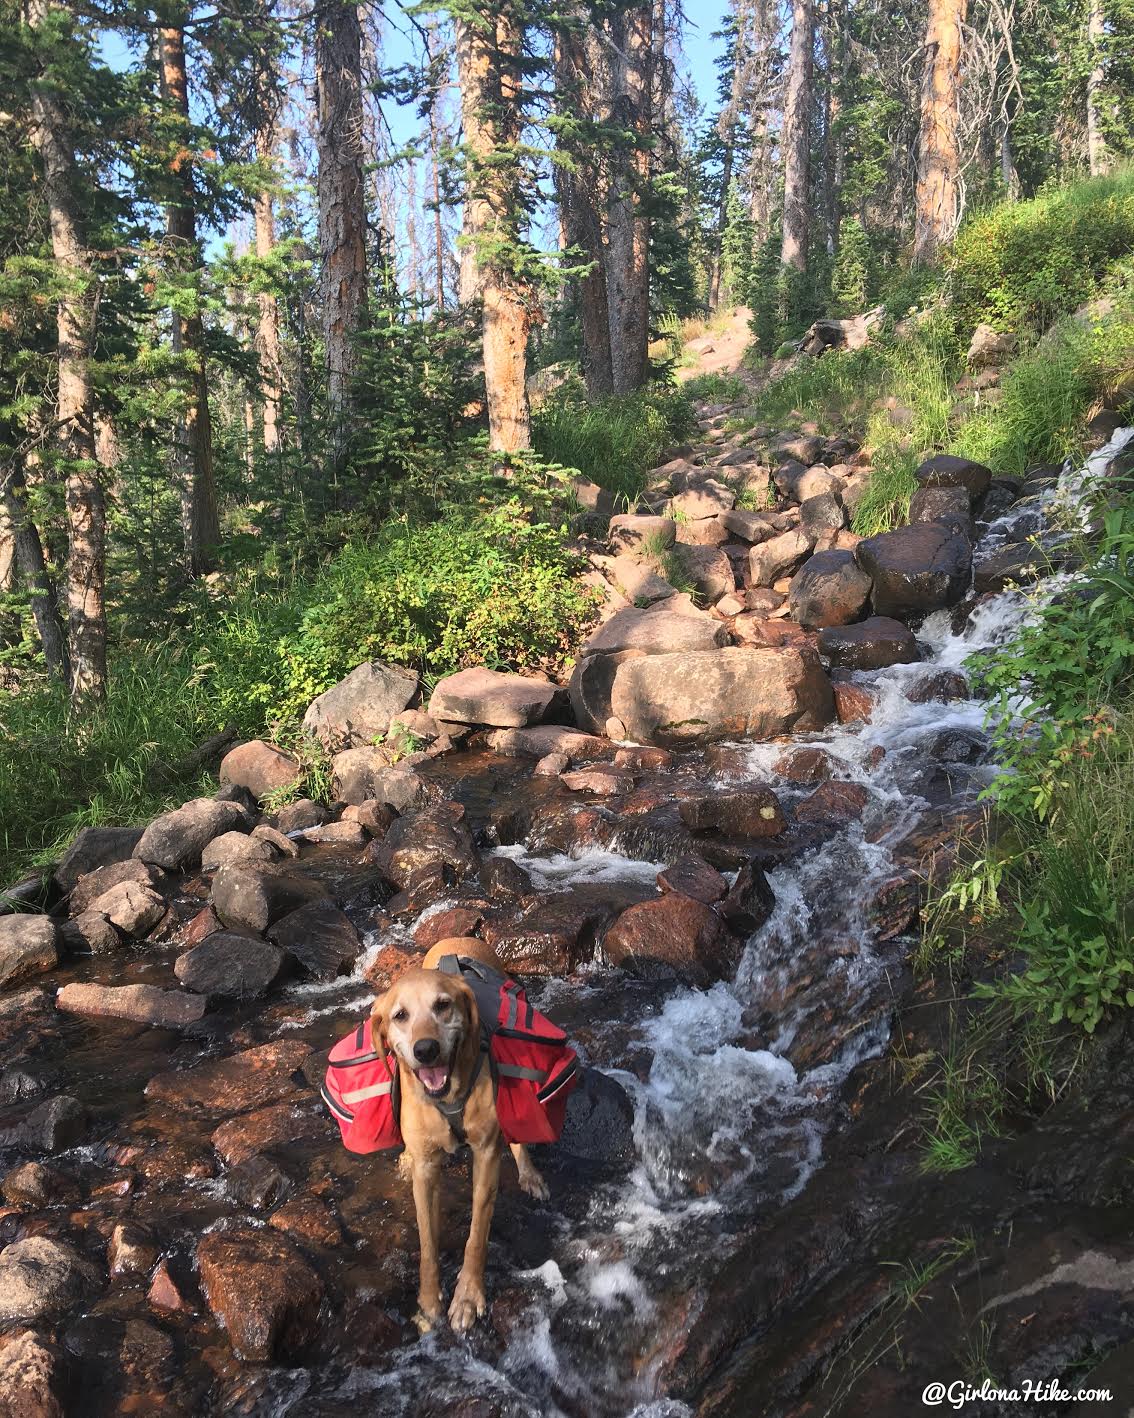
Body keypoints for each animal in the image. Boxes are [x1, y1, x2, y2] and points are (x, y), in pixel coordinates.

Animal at [368, 935, 552, 1332]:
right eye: (400, 1016)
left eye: (443, 1005)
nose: (426, 1049)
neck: (449, 1095)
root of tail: (459, 938)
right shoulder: (426, 1171)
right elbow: (427, 1242)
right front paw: (428, 1302)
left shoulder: (486, 1156)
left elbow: (477, 1236)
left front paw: (467, 1297)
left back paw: (530, 1174)